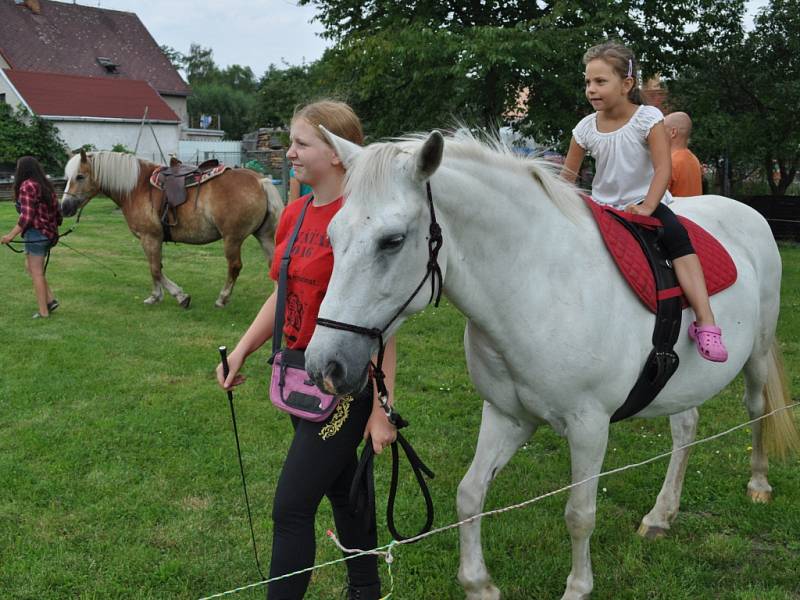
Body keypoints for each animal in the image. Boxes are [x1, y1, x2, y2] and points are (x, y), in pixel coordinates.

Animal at [61, 150, 282, 310]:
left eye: (80, 176)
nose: (64, 207)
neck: (137, 187)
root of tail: (260, 181)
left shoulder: (149, 238)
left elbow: (155, 269)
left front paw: (179, 296)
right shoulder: (153, 239)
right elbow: (156, 267)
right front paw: (155, 296)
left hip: (232, 239)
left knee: (234, 267)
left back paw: (222, 299)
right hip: (263, 235)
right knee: (273, 263)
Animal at [304, 129, 796, 596]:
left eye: (392, 241)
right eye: (332, 236)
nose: (324, 366)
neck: (539, 286)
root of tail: (748, 214)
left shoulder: (589, 426)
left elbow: (579, 513)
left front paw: (577, 588)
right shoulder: (507, 416)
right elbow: (469, 494)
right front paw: (479, 584)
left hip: (757, 355)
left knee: (756, 410)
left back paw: (759, 485)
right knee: (686, 427)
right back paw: (661, 514)